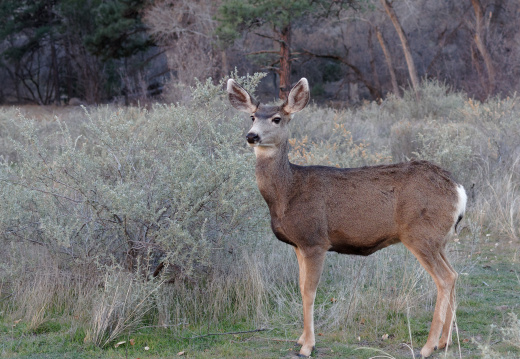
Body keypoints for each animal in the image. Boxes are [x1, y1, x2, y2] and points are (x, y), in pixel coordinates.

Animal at [228, 77, 468, 358]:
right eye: (252, 117)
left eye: (277, 119)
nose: (252, 136)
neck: (287, 193)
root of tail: (458, 189)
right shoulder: (298, 244)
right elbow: (300, 286)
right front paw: (300, 339)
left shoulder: (315, 240)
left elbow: (309, 291)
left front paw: (307, 346)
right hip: (439, 239)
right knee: (455, 275)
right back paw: (444, 342)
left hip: (420, 235)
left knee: (445, 278)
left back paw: (427, 346)